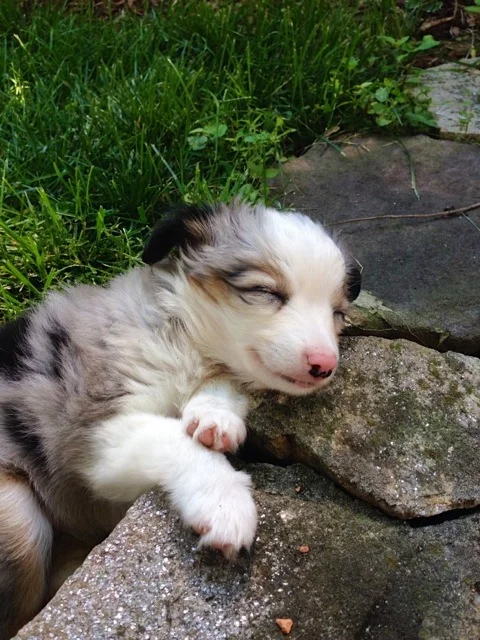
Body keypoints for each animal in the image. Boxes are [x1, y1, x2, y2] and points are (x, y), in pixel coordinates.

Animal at [0, 201, 360, 636]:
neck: (184, 341)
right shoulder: (91, 432)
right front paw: (224, 502)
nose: (325, 366)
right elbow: (171, 437)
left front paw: (214, 418)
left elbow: (218, 393)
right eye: (265, 292)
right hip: (17, 517)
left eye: (337, 313)